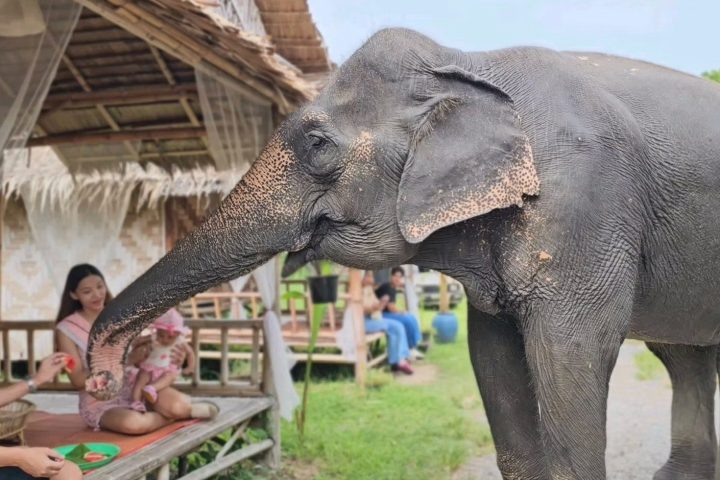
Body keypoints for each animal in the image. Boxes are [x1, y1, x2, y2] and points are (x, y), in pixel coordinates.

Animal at [85, 28, 720, 479]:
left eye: (317, 145)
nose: (101, 378)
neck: (466, 62)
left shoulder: (584, 206)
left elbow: (572, 353)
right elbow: (493, 356)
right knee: (684, 360)